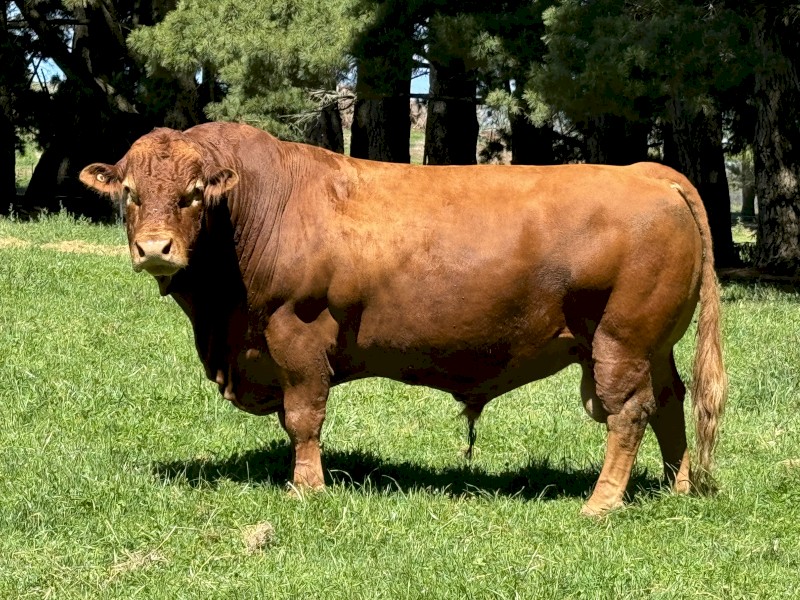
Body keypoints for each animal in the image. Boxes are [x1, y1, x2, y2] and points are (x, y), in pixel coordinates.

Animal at [80, 121, 726, 516]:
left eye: (192, 193)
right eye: (130, 192)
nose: (156, 249)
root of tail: (644, 172)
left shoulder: (297, 334)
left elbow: (303, 418)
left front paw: (306, 488)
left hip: (621, 339)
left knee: (629, 411)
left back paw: (603, 502)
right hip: (654, 343)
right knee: (672, 402)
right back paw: (680, 487)